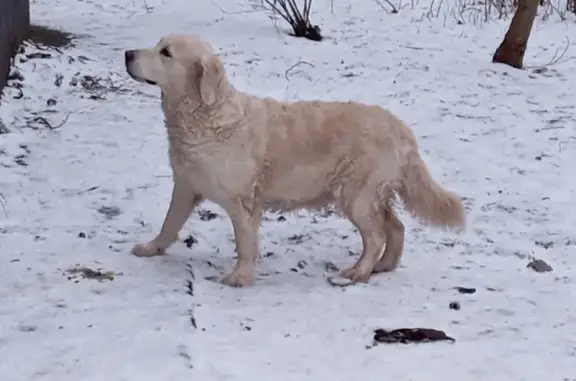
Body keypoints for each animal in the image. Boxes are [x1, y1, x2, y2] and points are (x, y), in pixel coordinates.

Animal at [124, 34, 466, 286]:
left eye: (166, 52)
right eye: (158, 45)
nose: (127, 53)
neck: (204, 116)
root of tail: (402, 128)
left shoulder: (242, 201)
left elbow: (245, 242)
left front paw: (239, 277)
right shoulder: (185, 186)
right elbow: (169, 224)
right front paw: (151, 248)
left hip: (355, 196)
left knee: (377, 235)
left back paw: (357, 272)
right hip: (371, 195)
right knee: (396, 228)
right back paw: (383, 266)